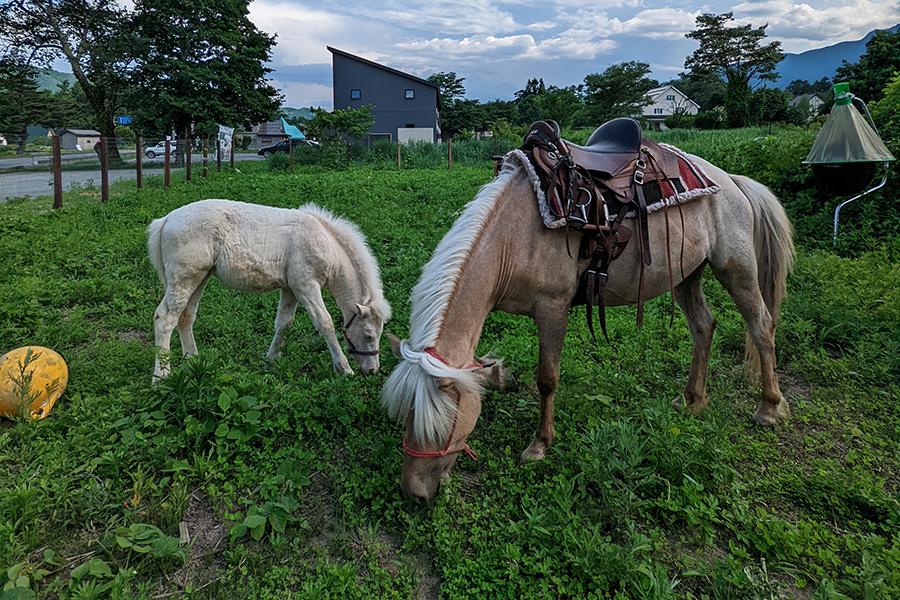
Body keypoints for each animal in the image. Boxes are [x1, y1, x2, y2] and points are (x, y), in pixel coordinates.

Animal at [147, 199, 390, 382]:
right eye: (368, 335)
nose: (372, 370)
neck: (325, 243)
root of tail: (165, 220)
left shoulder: (291, 288)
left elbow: (284, 323)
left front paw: (270, 361)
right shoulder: (306, 286)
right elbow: (325, 323)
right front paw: (344, 369)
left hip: (199, 278)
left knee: (185, 317)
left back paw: (193, 362)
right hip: (184, 279)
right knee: (164, 319)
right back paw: (162, 377)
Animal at [384, 151, 792, 502]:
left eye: (441, 423)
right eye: (405, 415)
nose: (413, 493)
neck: (513, 239)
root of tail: (731, 180)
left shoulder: (553, 308)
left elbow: (546, 379)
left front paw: (540, 444)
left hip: (736, 268)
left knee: (761, 325)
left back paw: (769, 407)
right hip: (687, 273)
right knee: (704, 327)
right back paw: (691, 399)